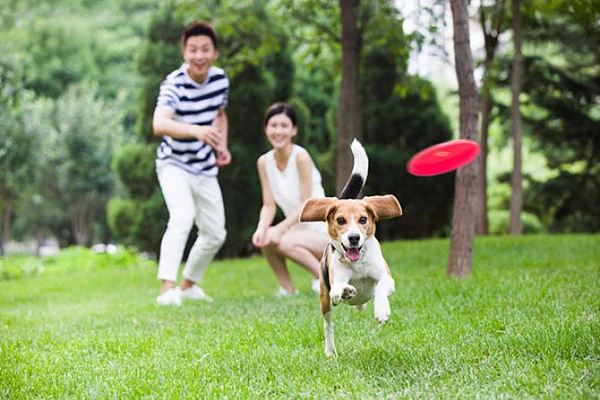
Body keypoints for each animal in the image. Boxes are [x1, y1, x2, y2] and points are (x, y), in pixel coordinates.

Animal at [300, 140, 404, 356]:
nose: (354, 238)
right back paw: (330, 351)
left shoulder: (387, 278)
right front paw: (347, 291)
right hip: (324, 301)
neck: (358, 263)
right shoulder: (333, 288)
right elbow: (339, 290)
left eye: (363, 219)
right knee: (328, 325)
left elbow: (381, 285)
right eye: (341, 220)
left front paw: (381, 309)